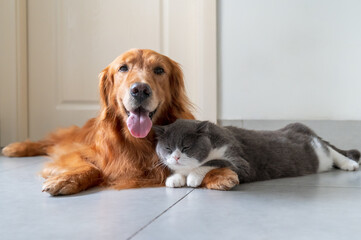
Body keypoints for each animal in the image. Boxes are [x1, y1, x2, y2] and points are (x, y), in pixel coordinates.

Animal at [153, 119, 360, 188]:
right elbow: (180, 172)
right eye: (168, 148)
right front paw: (175, 178)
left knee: (330, 149)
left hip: (317, 148)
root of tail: (297, 126)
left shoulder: (241, 161)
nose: (176, 156)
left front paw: (193, 177)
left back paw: (350, 164)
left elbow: (214, 162)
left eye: (186, 147)